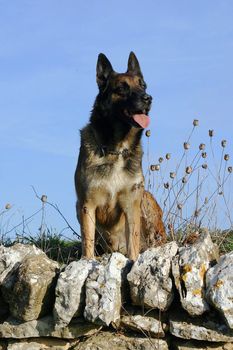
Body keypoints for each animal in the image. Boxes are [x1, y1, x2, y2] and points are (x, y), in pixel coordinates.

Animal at [74, 52, 166, 260]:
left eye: (143, 85)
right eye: (122, 88)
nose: (148, 98)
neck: (116, 149)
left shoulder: (132, 204)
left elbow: (133, 242)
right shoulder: (87, 205)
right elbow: (88, 242)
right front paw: (87, 262)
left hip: (145, 199)